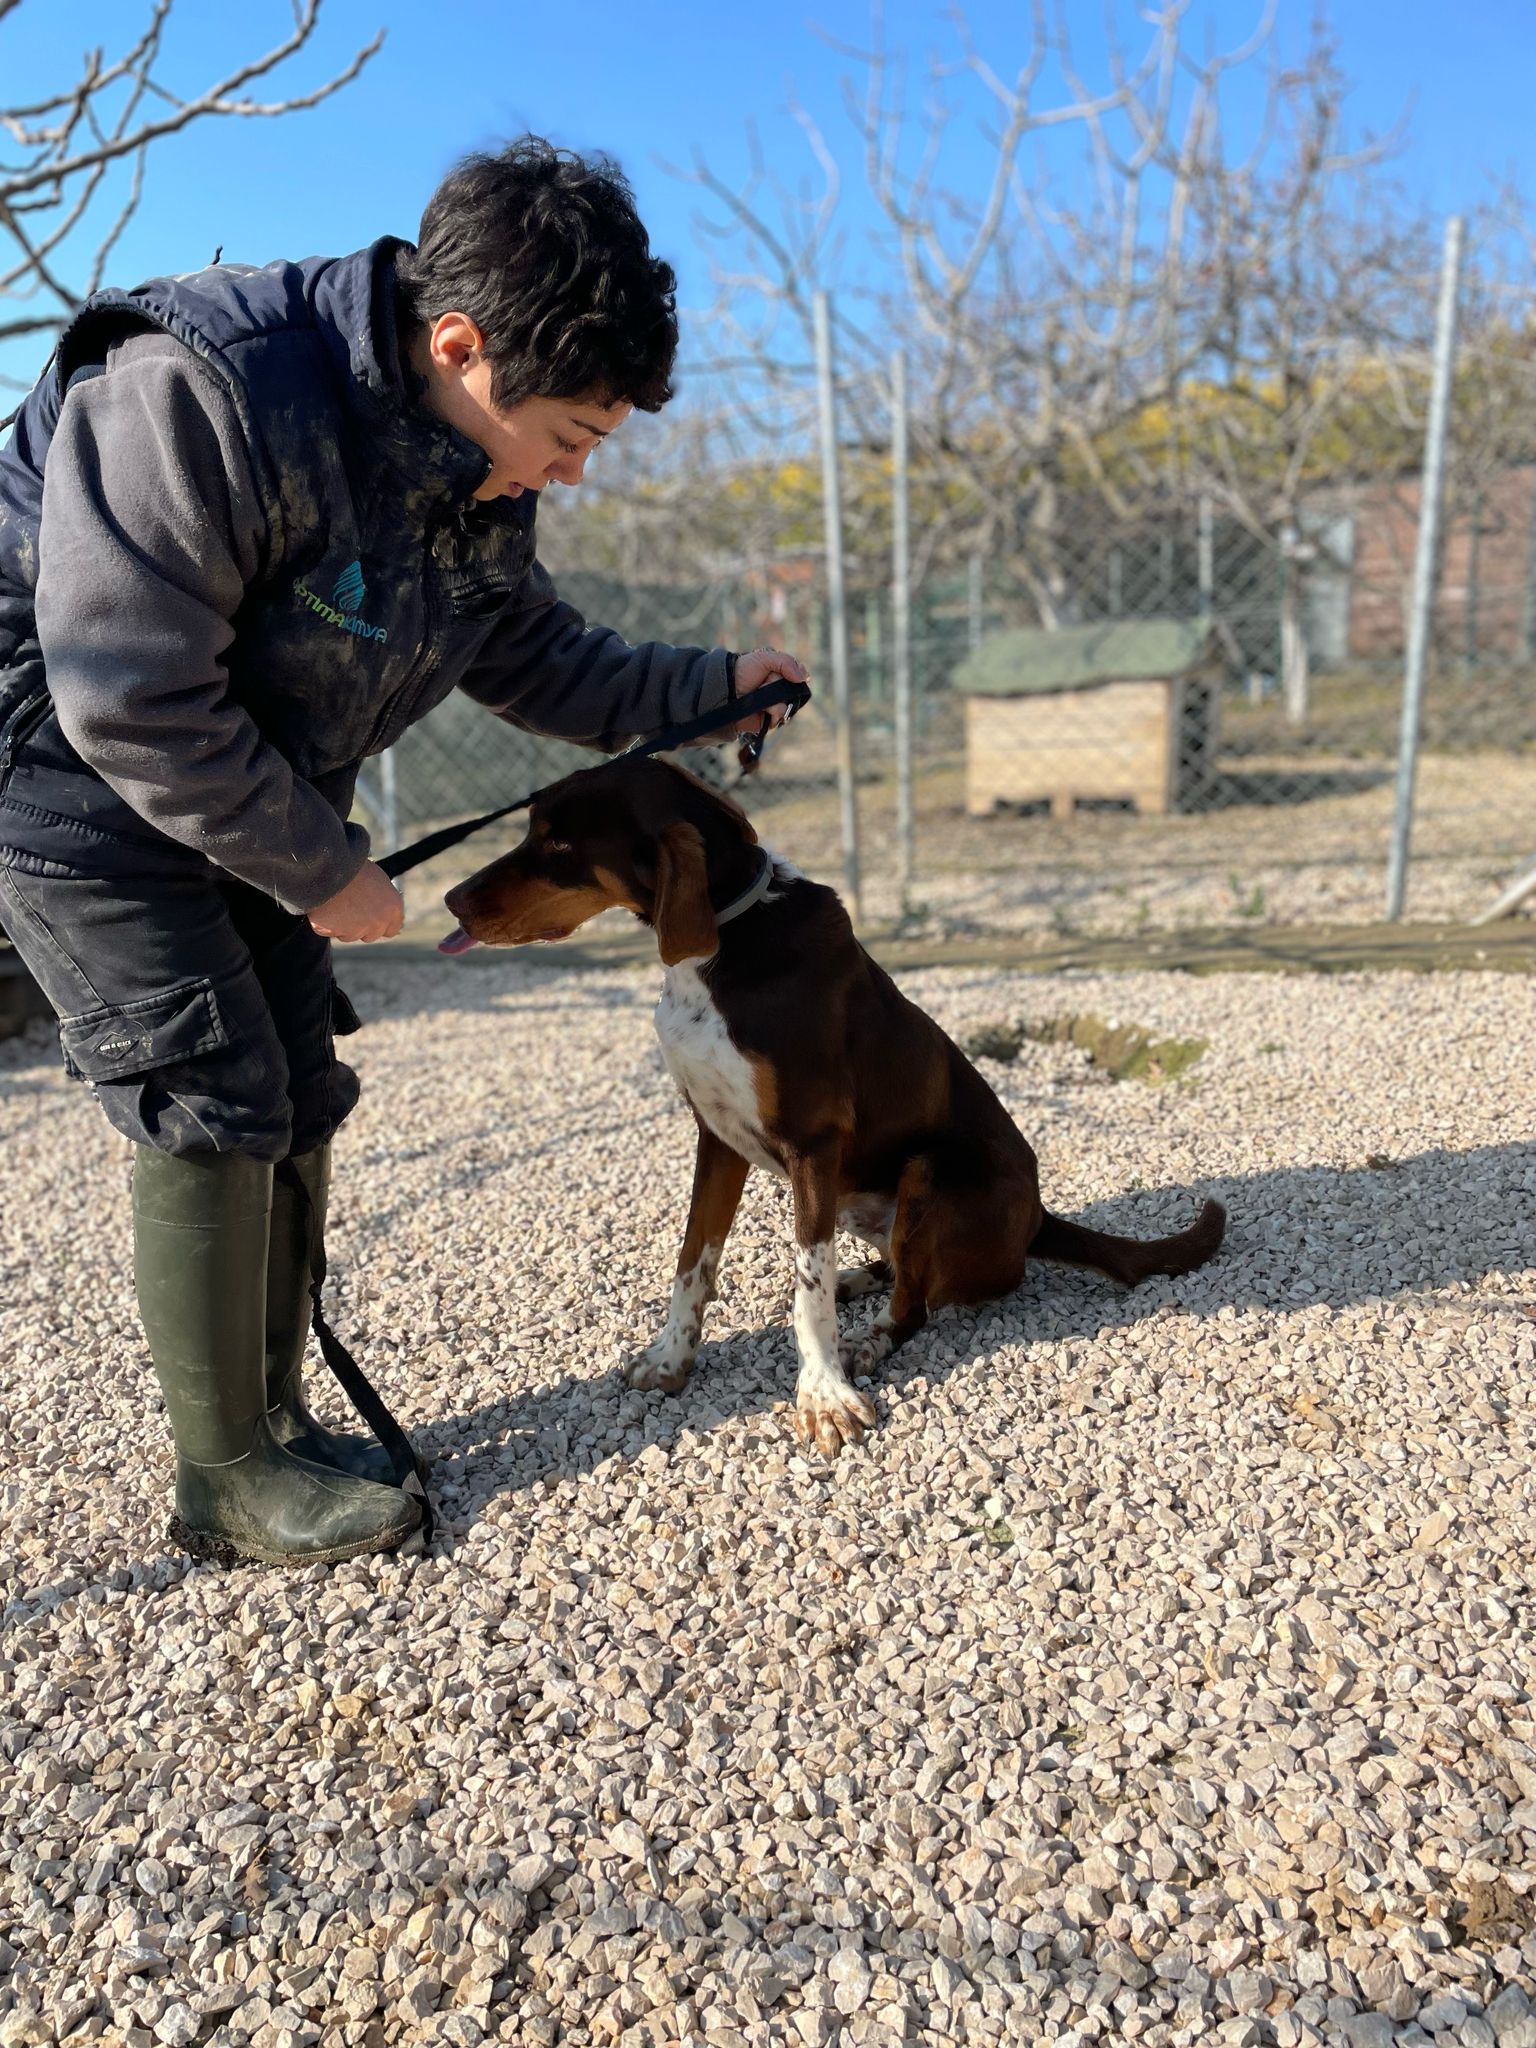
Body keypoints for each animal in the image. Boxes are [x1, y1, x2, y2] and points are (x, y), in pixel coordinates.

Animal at [440, 758, 1225, 1456]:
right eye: (534, 829)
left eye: (560, 845)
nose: (450, 900)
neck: (725, 946)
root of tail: (1037, 1219)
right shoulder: (715, 1137)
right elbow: (693, 1260)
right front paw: (670, 1359)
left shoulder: (813, 1144)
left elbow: (806, 1287)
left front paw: (822, 1393)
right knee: (904, 1272)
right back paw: (862, 1282)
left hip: (932, 1170)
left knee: (918, 1303)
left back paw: (869, 1338)